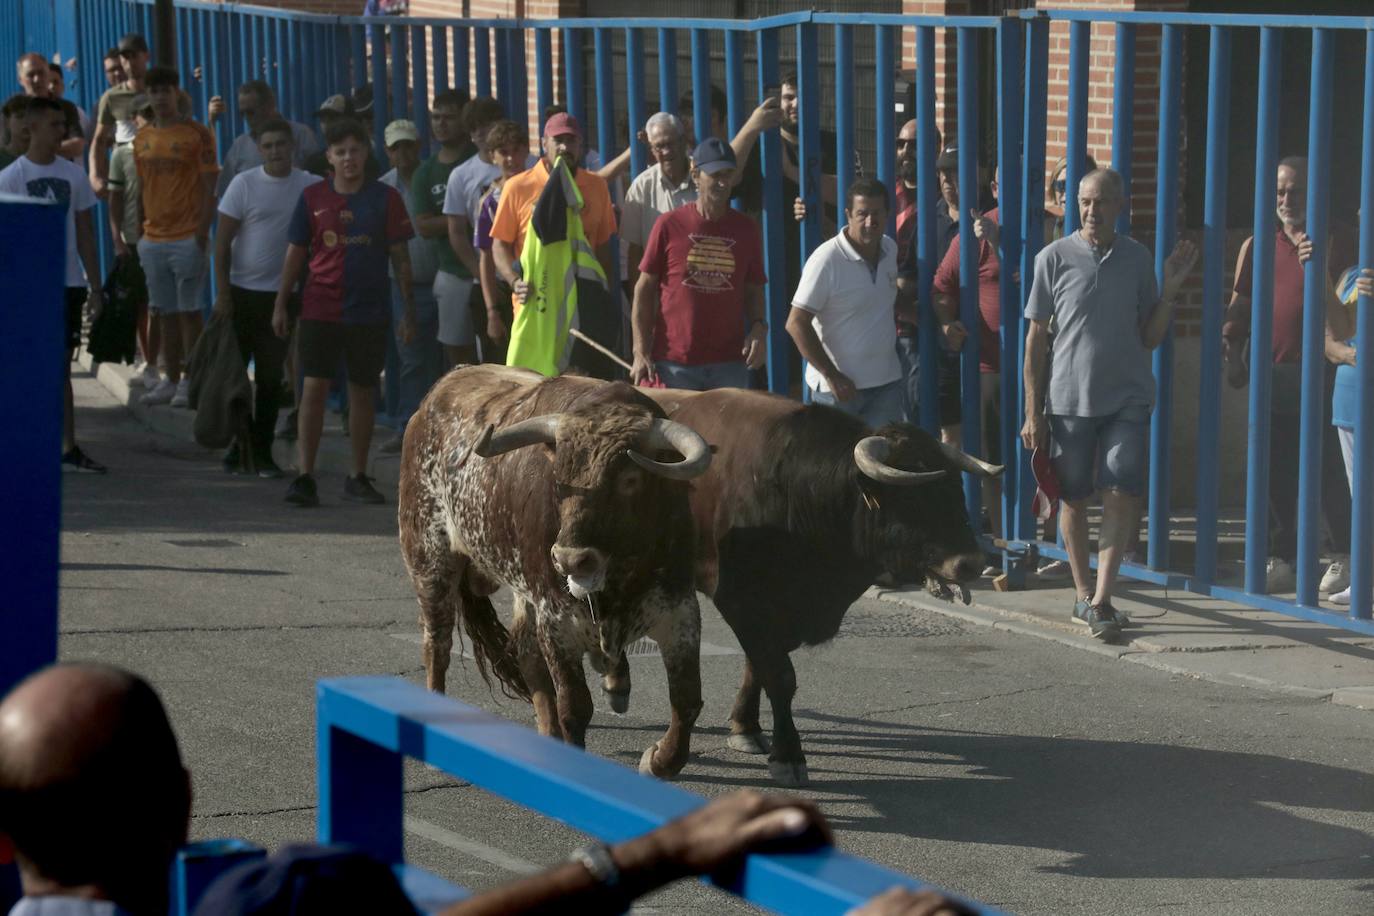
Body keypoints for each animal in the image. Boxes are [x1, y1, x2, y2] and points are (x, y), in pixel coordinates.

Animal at [401, 362, 708, 780]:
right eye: (558, 477)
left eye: (630, 480)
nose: (570, 558)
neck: (621, 579)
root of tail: (441, 389)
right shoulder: (557, 620)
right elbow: (575, 706)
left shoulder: (680, 612)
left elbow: (686, 698)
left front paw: (660, 760)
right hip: (430, 560)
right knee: (438, 644)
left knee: (527, 654)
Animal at [632, 390, 1000, 791]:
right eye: (913, 499)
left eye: (956, 489)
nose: (970, 563)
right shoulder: (740, 601)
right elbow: (779, 675)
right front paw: (788, 756)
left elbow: (758, 666)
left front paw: (747, 727)